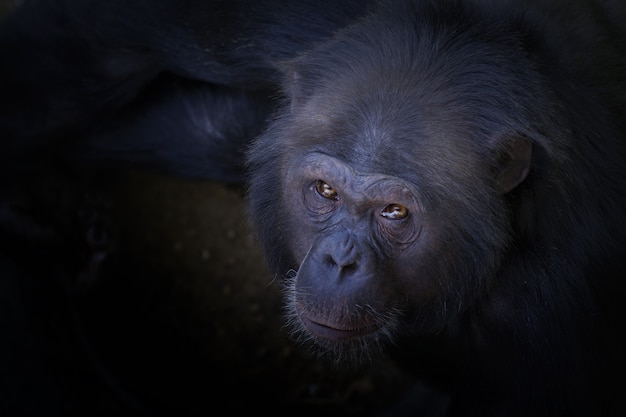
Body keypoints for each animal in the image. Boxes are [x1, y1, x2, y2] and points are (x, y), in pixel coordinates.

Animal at [1, 0, 624, 416]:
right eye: (326, 193)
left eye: (395, 213)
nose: (340, 261)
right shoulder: (291, 24)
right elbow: (106, 37)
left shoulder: (549, 303)